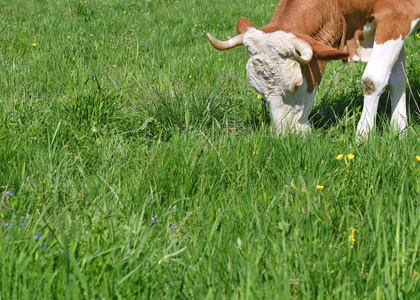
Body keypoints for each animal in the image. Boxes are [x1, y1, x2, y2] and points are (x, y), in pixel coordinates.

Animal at [207, 0, 420, 138]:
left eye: (297, 84)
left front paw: (363, 137)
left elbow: (372, 80)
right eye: (256, 88)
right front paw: (400, 130)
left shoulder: (397, 16)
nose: (286, 136)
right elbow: (396, 81)